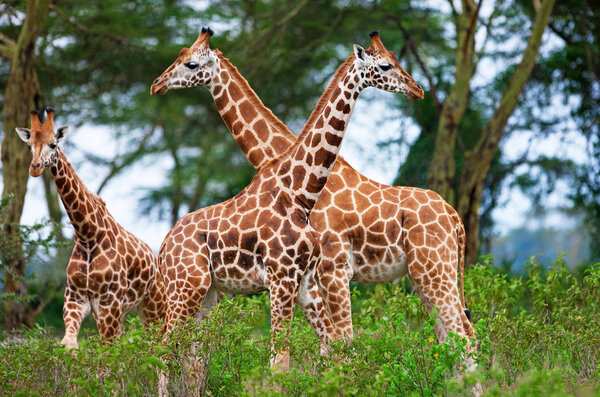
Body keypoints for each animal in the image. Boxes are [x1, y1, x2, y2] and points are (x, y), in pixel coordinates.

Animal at [15, 106, 165, 348]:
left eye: (53, 144)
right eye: (29, 145)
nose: (35, 168)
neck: (88, 235)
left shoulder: (108, 302)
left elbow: (108, 350)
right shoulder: (76, 300)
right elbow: (69, 344)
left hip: (154, 306)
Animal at [152, 29, 476, 346]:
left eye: (190, 64)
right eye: (387, 64)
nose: (157, 84)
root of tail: (455, 218)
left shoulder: (332, 268)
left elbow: (339, 340)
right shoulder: (322, 273)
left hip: (432, 269)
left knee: (462, 334)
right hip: (426, 274)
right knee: (456, 334)